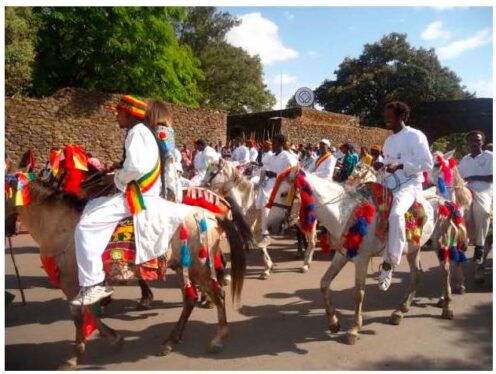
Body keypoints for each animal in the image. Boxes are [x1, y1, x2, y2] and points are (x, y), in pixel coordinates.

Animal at [4, 177, 248, 370]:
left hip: (198, 266)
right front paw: (114, 338)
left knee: (218, 294)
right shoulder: (78, 284)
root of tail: (212, 216)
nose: (10, 229)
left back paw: (217, 339)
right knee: (191, 298)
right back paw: (170, 341)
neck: (61, 227)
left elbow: (79, 315)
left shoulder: (70, 281)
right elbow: (88, 312)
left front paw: (75, 357)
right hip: (183, 266)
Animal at [268, 167, 464, 344]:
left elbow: (359, 293)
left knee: (445, 271)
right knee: (416, 275)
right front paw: (333, 322)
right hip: (414, 249)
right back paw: (400, 311)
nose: (271, 227)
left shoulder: (362, 259)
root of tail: (442, 199)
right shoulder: (341, 255)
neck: (345, 213)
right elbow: (324, 283)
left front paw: (354, 329)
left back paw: (446, 307)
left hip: (441, 243)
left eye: (284, 193)